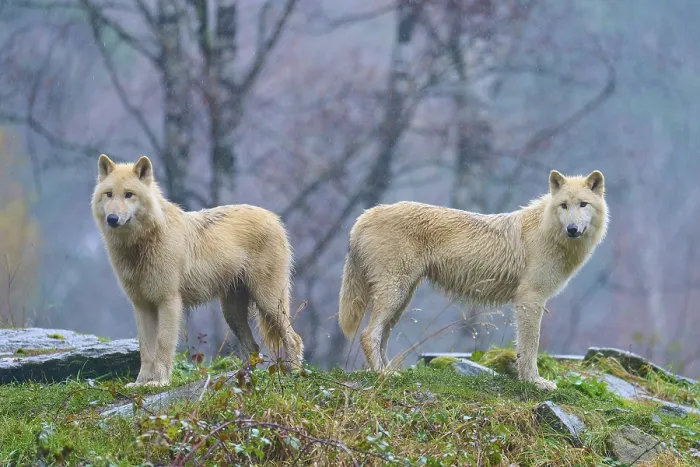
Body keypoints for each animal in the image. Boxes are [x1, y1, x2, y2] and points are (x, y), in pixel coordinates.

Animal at [91, 154, 304, 387]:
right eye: (109, 194)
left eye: (129, 194)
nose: (112, 218)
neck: (141, 244)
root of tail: (274, 218)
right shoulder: (142, 306)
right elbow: (145, 350)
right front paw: (140, 383)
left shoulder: (169, 302)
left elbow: (163, 345)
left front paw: (160, 382)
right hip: (232, 313)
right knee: (253, 347)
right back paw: (245, 380)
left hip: (268, 303)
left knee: (293, 338)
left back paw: (295, 374)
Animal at [337, 169, 608, 390]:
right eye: (564, 205)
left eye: (583, 204)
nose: (572, 229)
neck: (547, 232)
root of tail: (365, 215)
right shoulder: (530, 299)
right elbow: (530, 347)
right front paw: (534, 382)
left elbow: (523, 348)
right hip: (395, 293)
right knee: (368, 335)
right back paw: (383, 375)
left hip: (401, 298)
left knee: (381, 337)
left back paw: (388, 372)